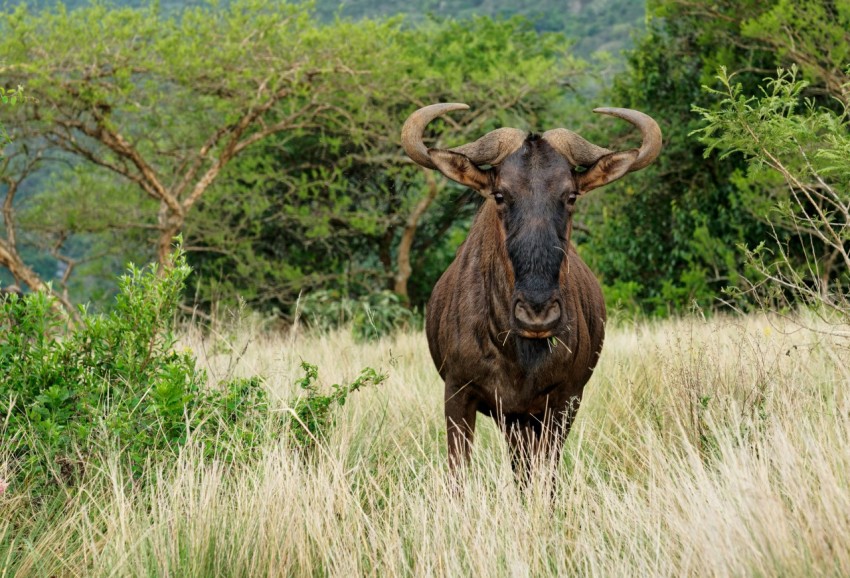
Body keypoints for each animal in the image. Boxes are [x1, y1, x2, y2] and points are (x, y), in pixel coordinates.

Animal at [400, 103, 660, 476]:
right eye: (500, 194)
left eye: (570, 195)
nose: (538, 314)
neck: (516, 350)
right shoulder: (459, 396)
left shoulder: (562, 403)